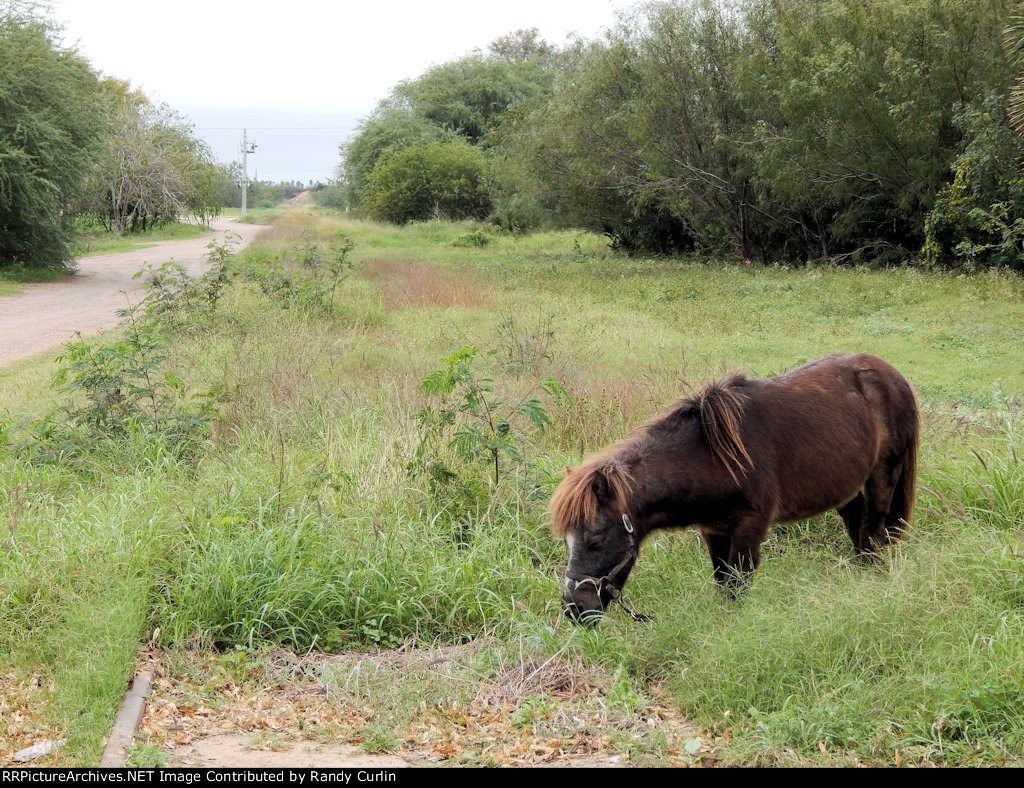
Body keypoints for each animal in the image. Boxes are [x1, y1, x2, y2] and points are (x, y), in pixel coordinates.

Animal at [550, 353, 919, 626]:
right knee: (859, 527)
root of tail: (892, 376)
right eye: (567, 541)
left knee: (875, 531)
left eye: (595, 541)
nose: (574, 609)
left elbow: (738, 583)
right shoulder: (714, 529)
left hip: (882, 479)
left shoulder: (749, 527)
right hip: (845, 489)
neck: (711, 456)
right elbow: (722, 580)